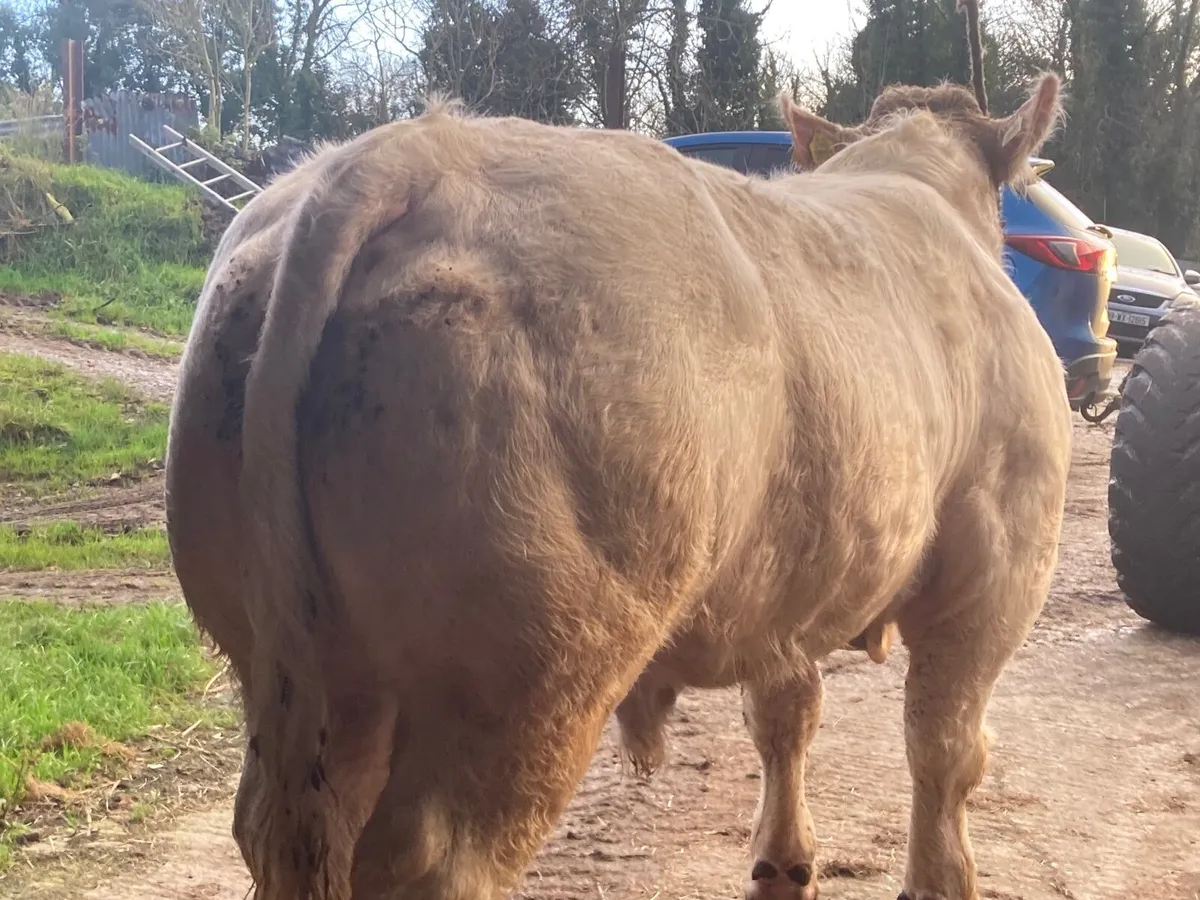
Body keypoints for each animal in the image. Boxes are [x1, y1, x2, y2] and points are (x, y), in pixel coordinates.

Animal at [165, 73, 1071, 900]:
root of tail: (418, 148)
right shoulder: (1000, 563)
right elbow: (943, 748)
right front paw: (941, 881)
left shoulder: (789, 582)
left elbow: (785, 715)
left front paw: (784, 863)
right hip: (534, 667)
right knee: (435, 857)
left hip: (303, 659)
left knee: (292, 826)